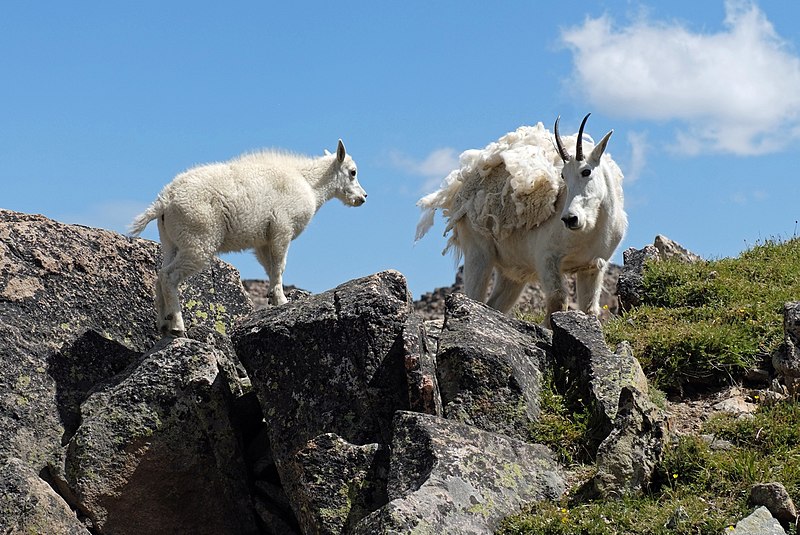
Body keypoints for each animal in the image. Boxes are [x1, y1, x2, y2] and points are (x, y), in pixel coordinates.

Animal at [416, 114, 628, 324]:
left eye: (586, 171)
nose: (570, 218)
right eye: (563, 176)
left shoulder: (592, 267)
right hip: (478, 252)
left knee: (494, 304)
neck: (588, 232)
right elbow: (558, 301)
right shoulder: (547, 259)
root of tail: (457, 194)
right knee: (474, 297)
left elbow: (589, 310)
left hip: (512, 272)